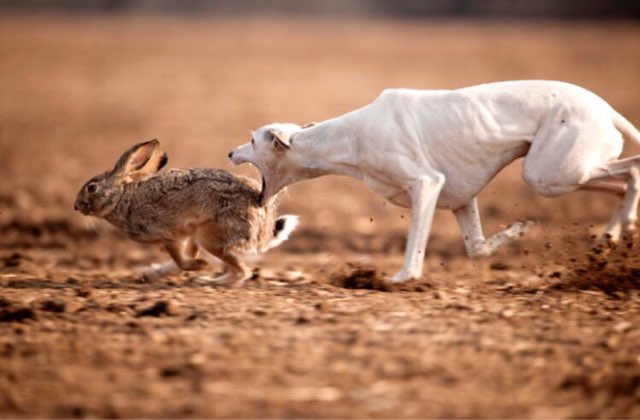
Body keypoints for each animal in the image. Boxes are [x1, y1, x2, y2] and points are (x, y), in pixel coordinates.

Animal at [229, 79, 640, 282]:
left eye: (252, 140)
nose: (230, 153)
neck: (351, 136)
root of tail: (605, 107)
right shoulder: (460, 201)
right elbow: (478, 249)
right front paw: (520, 229)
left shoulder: (426, 185)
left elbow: (415, 247)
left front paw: (401, 278)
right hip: (567, 172)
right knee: (622, 181)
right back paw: (610, 239)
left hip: (548, 174)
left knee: (633, 170)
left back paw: (622, 228)